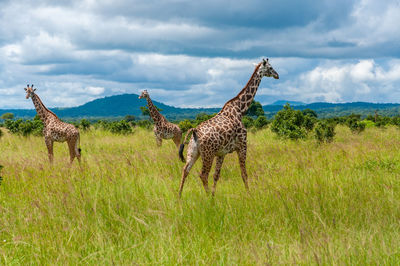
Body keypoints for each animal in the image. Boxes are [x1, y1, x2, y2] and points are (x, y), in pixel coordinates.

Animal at [178, 58, 278, 195]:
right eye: (270, 67)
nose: (277, 75)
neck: (240, 109)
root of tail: (195, 131)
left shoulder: (222, 153)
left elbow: (216, 175)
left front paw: (214, 195)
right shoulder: (242, 145)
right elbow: (244, 173)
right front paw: (249, 194)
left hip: (193, 151)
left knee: (185, 170)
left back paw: (179, 196)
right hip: (208, 154)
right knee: (203, 175)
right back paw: (207, 197)